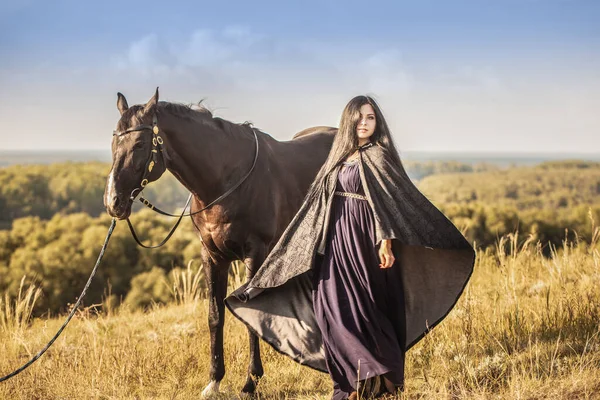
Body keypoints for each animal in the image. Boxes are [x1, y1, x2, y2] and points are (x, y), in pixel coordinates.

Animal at [105, 89, 336, 396]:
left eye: (140, 143)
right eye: (114, 141)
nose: (113, 201)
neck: (225, 182)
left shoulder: (255, 254)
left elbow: (253, 315)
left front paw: (251, 382)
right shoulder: (212, 256)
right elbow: (215, 316)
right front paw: (214, 381)